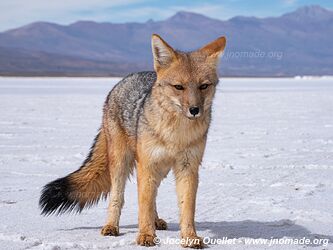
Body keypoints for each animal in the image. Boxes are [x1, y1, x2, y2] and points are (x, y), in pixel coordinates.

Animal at [39, 33, 226, 248]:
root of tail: (124, 80)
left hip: (158, 169)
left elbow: (186, 208)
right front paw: (145, 235)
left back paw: (156, 221)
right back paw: (111, 226)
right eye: (179, 87)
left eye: (204, 86)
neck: (176, 135)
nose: (194, 110)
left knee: (153, 198)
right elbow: (143, 206)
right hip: (122, 163)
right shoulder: (147, 165)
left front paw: (190, 237)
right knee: (118, 198)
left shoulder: (188, 167)